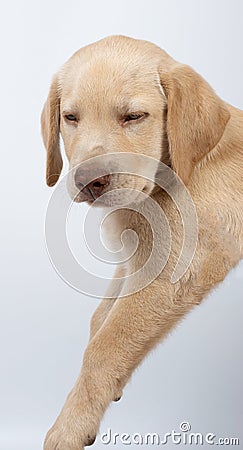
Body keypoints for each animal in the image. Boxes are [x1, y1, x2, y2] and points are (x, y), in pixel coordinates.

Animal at [40, 36, 242, 450]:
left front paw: (70, 427)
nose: (89, 182)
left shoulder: (175, 273)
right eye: (71, 118)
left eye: (133, 117)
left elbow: (105, 345)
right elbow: (100, 320)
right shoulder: (137, 259)